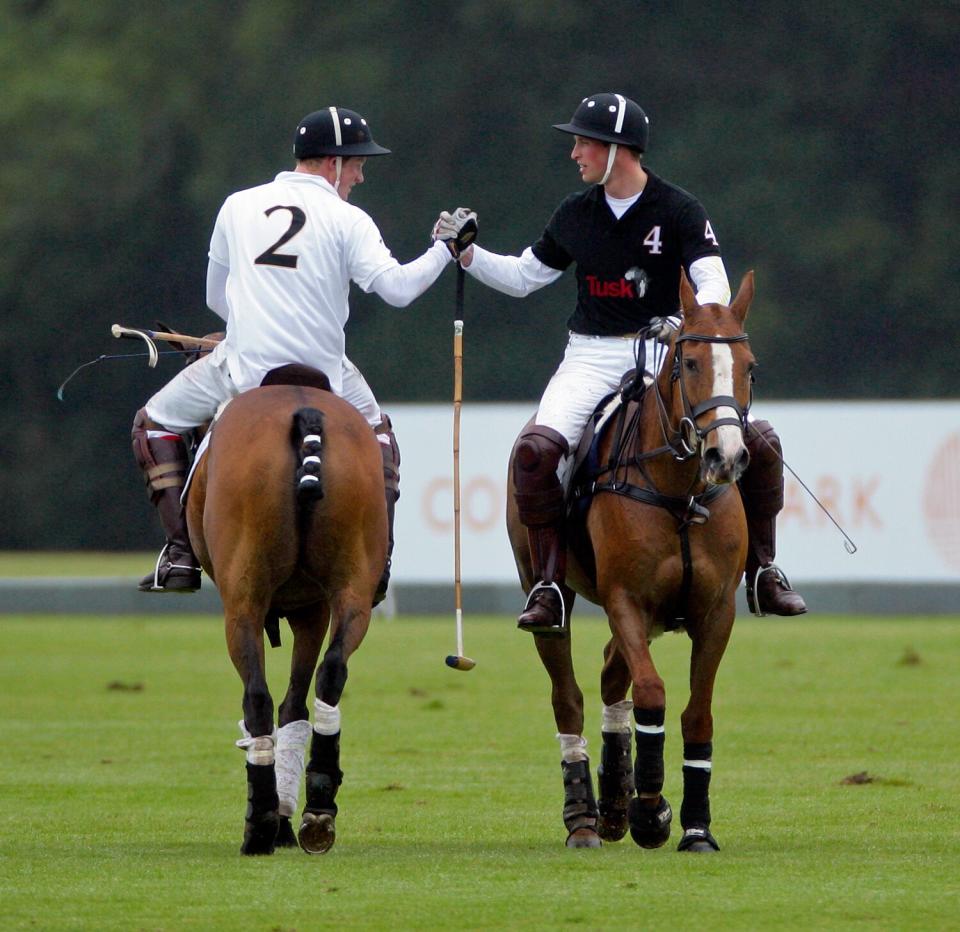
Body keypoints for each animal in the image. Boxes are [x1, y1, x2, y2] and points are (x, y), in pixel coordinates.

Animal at [186, 374, 384, 856]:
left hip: (243, 597)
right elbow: (295, 703)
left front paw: (275, 820)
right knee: (332, 673)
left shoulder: (286, 606)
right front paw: (291, 817)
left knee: (256, 696)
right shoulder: (312, 607)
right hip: (353, 581)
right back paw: (320, 807)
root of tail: (303, 410)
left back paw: (258, 826)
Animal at [510, 270, 756, 852]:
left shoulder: (716, 612)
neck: (680, 493)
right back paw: (584, 818)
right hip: (552, 591)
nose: (726, 456)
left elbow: (697, 714)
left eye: (749, 366)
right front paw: (650, 812)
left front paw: (694, 826)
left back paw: (614, 804)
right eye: (689, 363)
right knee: (569, 696)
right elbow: (651, 691)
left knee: (608, 674)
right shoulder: (626, 599)